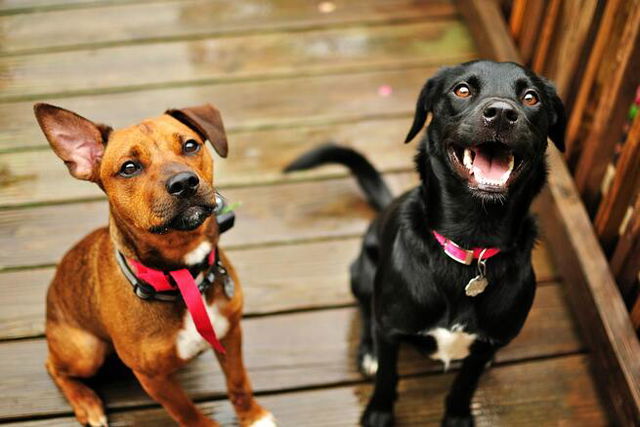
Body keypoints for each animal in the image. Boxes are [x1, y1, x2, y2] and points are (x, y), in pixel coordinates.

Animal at [34, 104, 276, 427]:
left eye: (190, 145)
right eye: (129, 167)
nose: (184, 183)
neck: (183, 275)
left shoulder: (231, 332)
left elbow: (238, 382)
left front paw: (253, 417)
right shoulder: (153, 377)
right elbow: (186, 411)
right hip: (86, 351)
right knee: (53, 366)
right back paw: (87, 403)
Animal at [284, 61, 564, 427]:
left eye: (531, 97)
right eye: (462, 90)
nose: (502, 113)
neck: (471, 242)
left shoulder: (486, 345)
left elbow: (466, 383)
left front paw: (458, 415)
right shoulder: (391, 329)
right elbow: (387, 377)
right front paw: (378, 413)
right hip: (362, 274)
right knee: (366, 310)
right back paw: (369, 351)